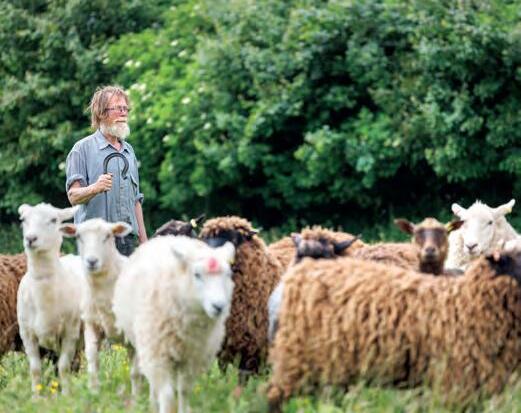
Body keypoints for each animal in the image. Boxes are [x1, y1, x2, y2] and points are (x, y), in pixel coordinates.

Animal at [17, 203, 83, 394]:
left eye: (54, 220)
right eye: (23, 220)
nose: (31, 239)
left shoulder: (70, 333)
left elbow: (64, 367)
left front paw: (66, 394)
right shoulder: (27, 334)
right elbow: (35, 369)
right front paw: (36, 395)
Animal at [60, 218, 133, 391]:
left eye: (108, 236)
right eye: (78, 236)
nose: (91, 261)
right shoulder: (91, 324)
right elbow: (92, 358)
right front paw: (94, 390)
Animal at [113, 235, 236, 413]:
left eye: (228, 274)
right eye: (196, 274)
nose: (219, 306)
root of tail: (167, 237)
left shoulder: (192, 357)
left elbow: (183, 391)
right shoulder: (158, 355)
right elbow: (167, 395)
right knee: (151, 382)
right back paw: (152, 404)